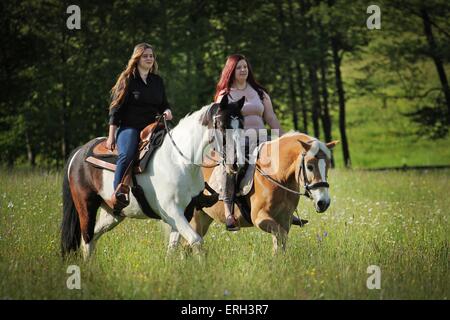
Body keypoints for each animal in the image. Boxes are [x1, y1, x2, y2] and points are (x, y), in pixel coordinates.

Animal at [61, 95, 244, 260]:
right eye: (222, 126)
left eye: (241, 126)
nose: (236, 164)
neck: (179, 161)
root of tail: (79, 152)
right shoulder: (171, 211)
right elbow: (196, 240)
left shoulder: (185, 212)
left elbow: (173, 248)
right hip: (86, 206)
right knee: (87, 238)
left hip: (112, 213)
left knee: (92, 237)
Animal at [172, 131, 338, 254]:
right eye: (309, 166)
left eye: (328, 165)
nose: (323, 203)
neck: (277, 175)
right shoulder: (260, 218)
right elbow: (281, 237)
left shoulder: (285, 220)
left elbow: (280, 242)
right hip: (195, 218)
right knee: (188, 244)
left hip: (205, 218)